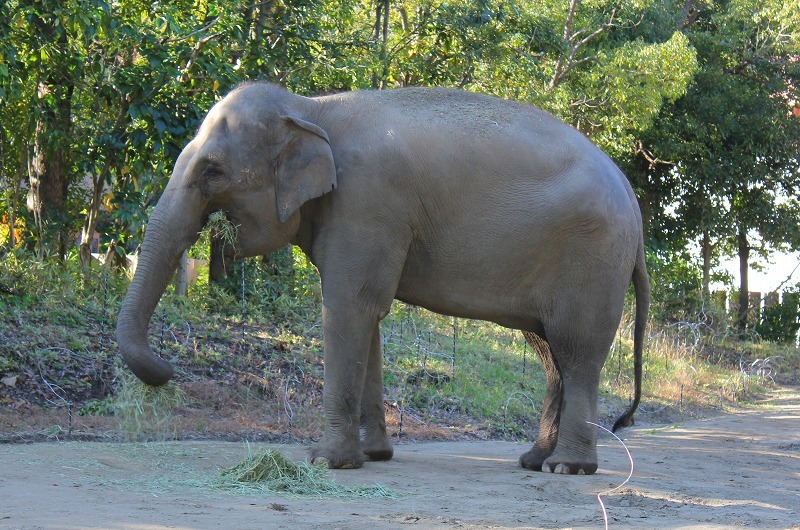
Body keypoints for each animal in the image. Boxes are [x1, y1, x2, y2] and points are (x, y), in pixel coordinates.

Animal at [115, 82, 648, 474]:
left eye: (213, 171)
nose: (168, 370)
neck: (311, 107)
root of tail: (631, 196)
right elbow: (366, 316)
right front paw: (373, 456)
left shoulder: (368, 203)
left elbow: (349, 307)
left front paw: (326, 461)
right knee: (551, 355)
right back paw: (534, 461)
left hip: (593, 259)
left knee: (576, 352)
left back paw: (568, 469)